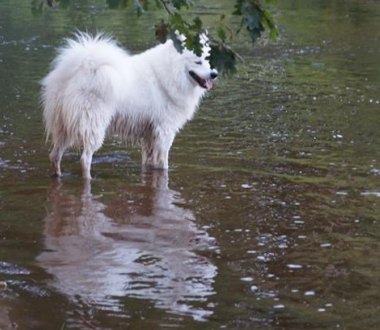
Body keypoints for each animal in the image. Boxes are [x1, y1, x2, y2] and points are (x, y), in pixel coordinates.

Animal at [40, 32, 217, 179]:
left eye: (208, 59)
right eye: (198, 61)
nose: (214, 74)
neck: (171, 72)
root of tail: (78, 69)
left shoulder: (149, 134)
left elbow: (149, 161)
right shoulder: (164, 130)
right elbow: (163, 162)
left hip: (63, 126)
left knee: (54, 155)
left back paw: (57, 175)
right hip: (93, 124)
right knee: (85, 158)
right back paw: (88, 178)